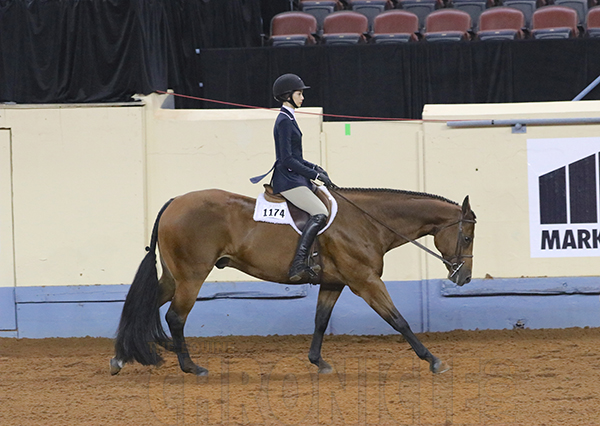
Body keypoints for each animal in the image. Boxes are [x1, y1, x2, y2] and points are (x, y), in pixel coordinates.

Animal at [110, 186, 476, 376]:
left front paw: (319, 362)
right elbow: (398, 320)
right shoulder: (365, 281)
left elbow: (320, 321)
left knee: (146, 307)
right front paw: (434, 360)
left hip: (175, 277)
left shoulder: (334, 283)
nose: (464, 277)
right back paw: (191, 367)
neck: (367, 222)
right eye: (468, 237)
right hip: (192, 276)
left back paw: (121, 357)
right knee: (175, 316)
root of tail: (175, 202)